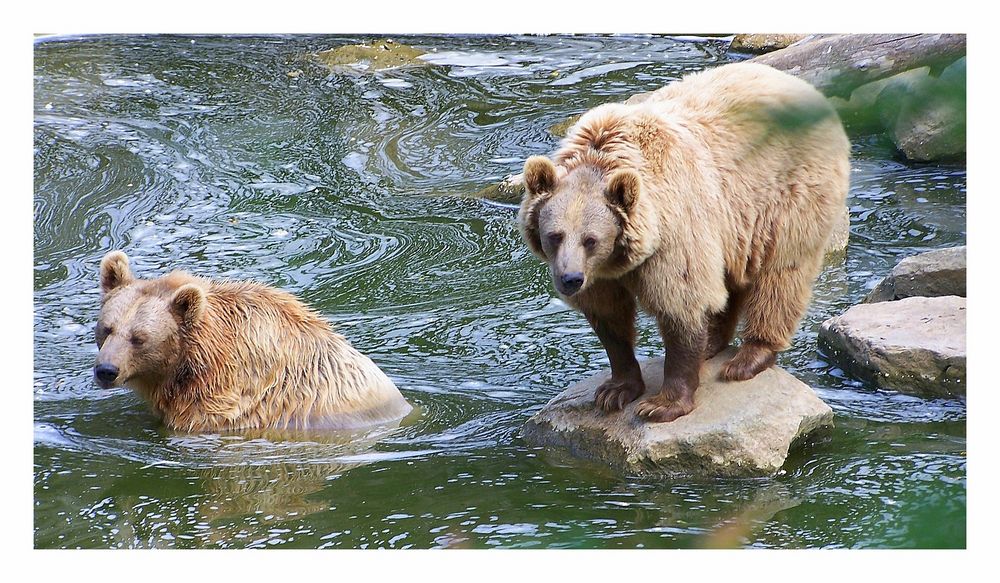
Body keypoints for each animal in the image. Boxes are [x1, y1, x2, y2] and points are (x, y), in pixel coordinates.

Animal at [520, 62, 848, 424]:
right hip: (735, 225)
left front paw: (662, 403)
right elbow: (610, 319)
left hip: (785, 195)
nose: (570, 279)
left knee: (780, 274)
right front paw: (615, 390)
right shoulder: (604, 275)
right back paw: (714, 342)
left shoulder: (674, 232)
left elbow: (682, 301)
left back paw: (748, 357)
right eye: (555, 235)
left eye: (591, 239)